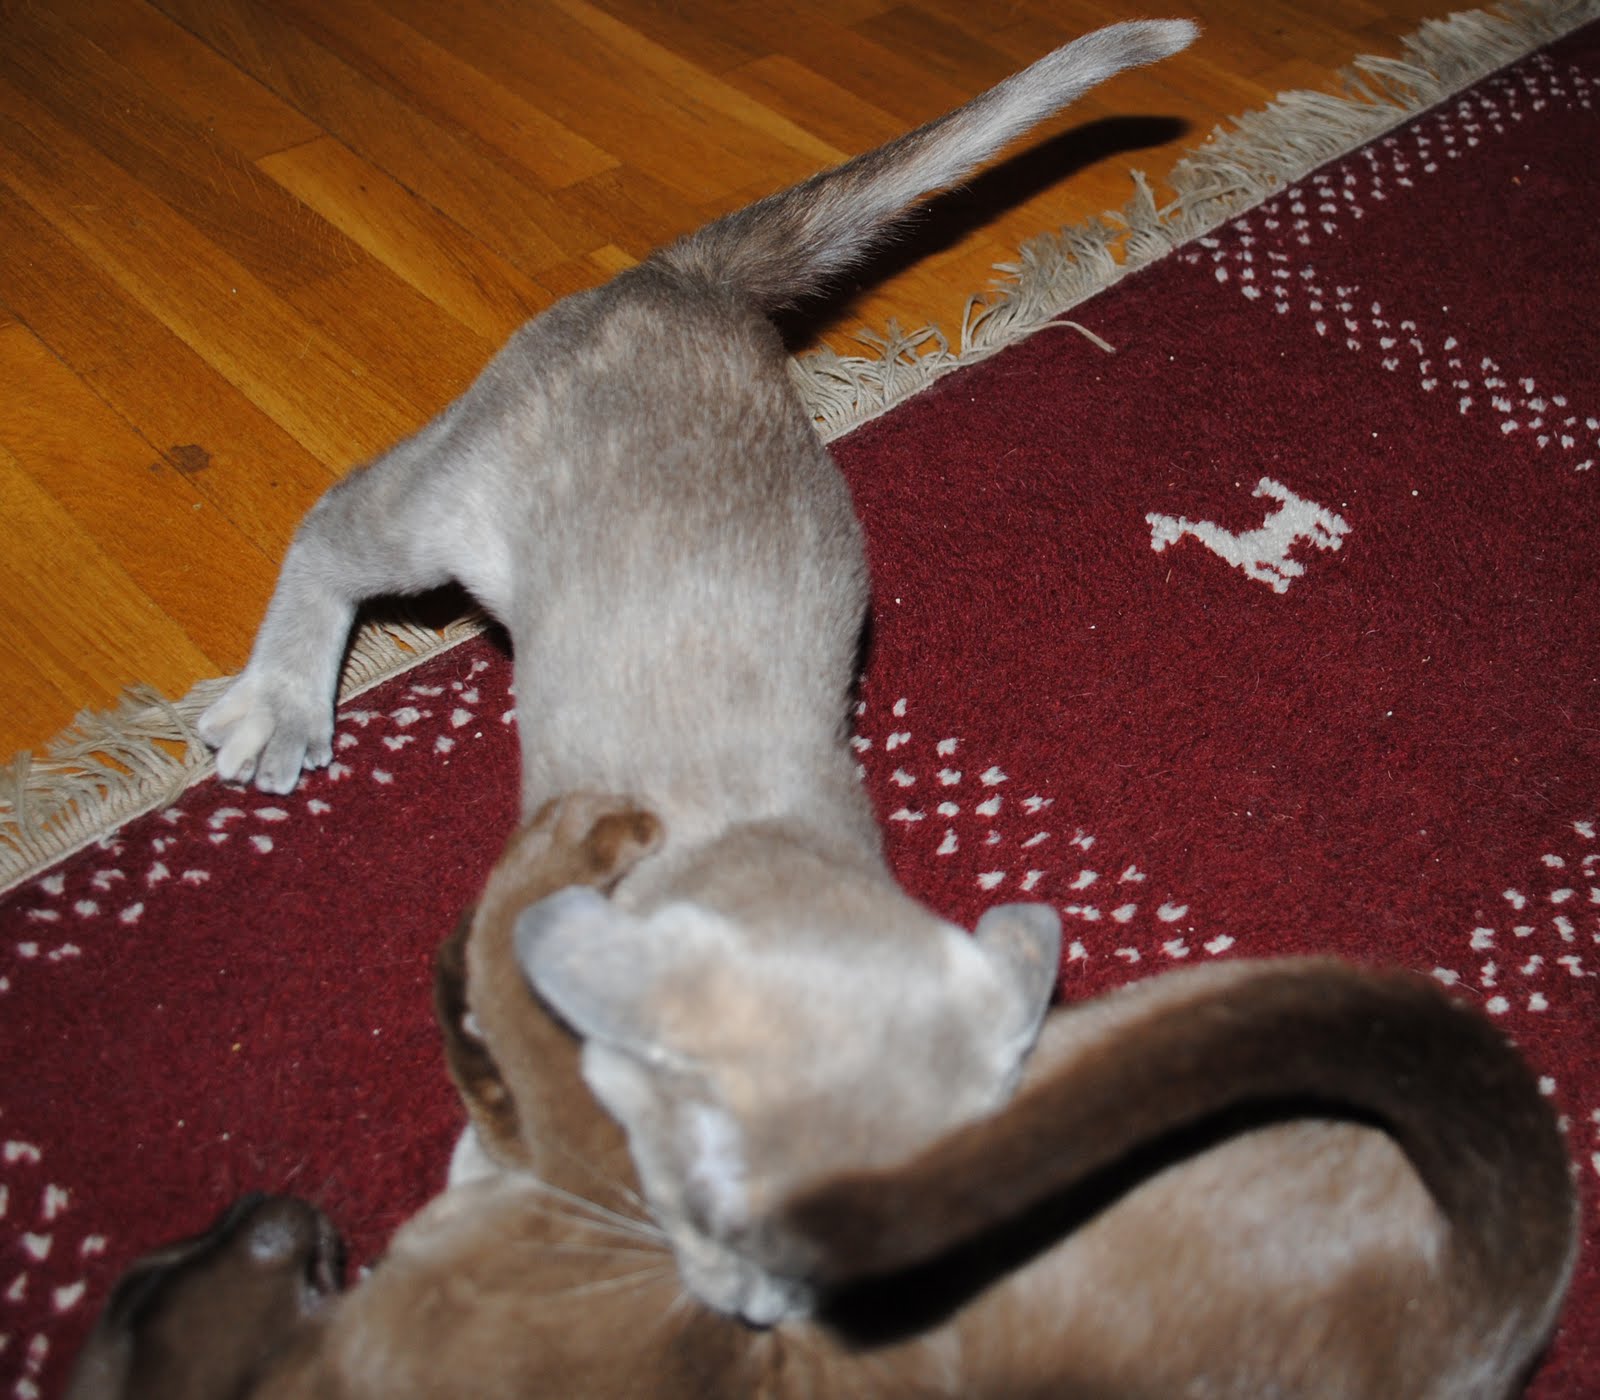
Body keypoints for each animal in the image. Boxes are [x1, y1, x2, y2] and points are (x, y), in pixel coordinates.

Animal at [67, 794, 1577, 1399]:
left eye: (134, 1282)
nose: (261, 1203)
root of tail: (1500, 1275)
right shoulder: (586, 1179)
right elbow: (498, 1010)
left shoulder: (581, 1171)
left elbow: (502, 968)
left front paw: (576, 843)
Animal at [195, 19, 1198, 1324]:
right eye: (712, 1204)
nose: (762, 1309)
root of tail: (684, 281)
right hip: (441, 514)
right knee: (328, 521)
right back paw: (275, 708)